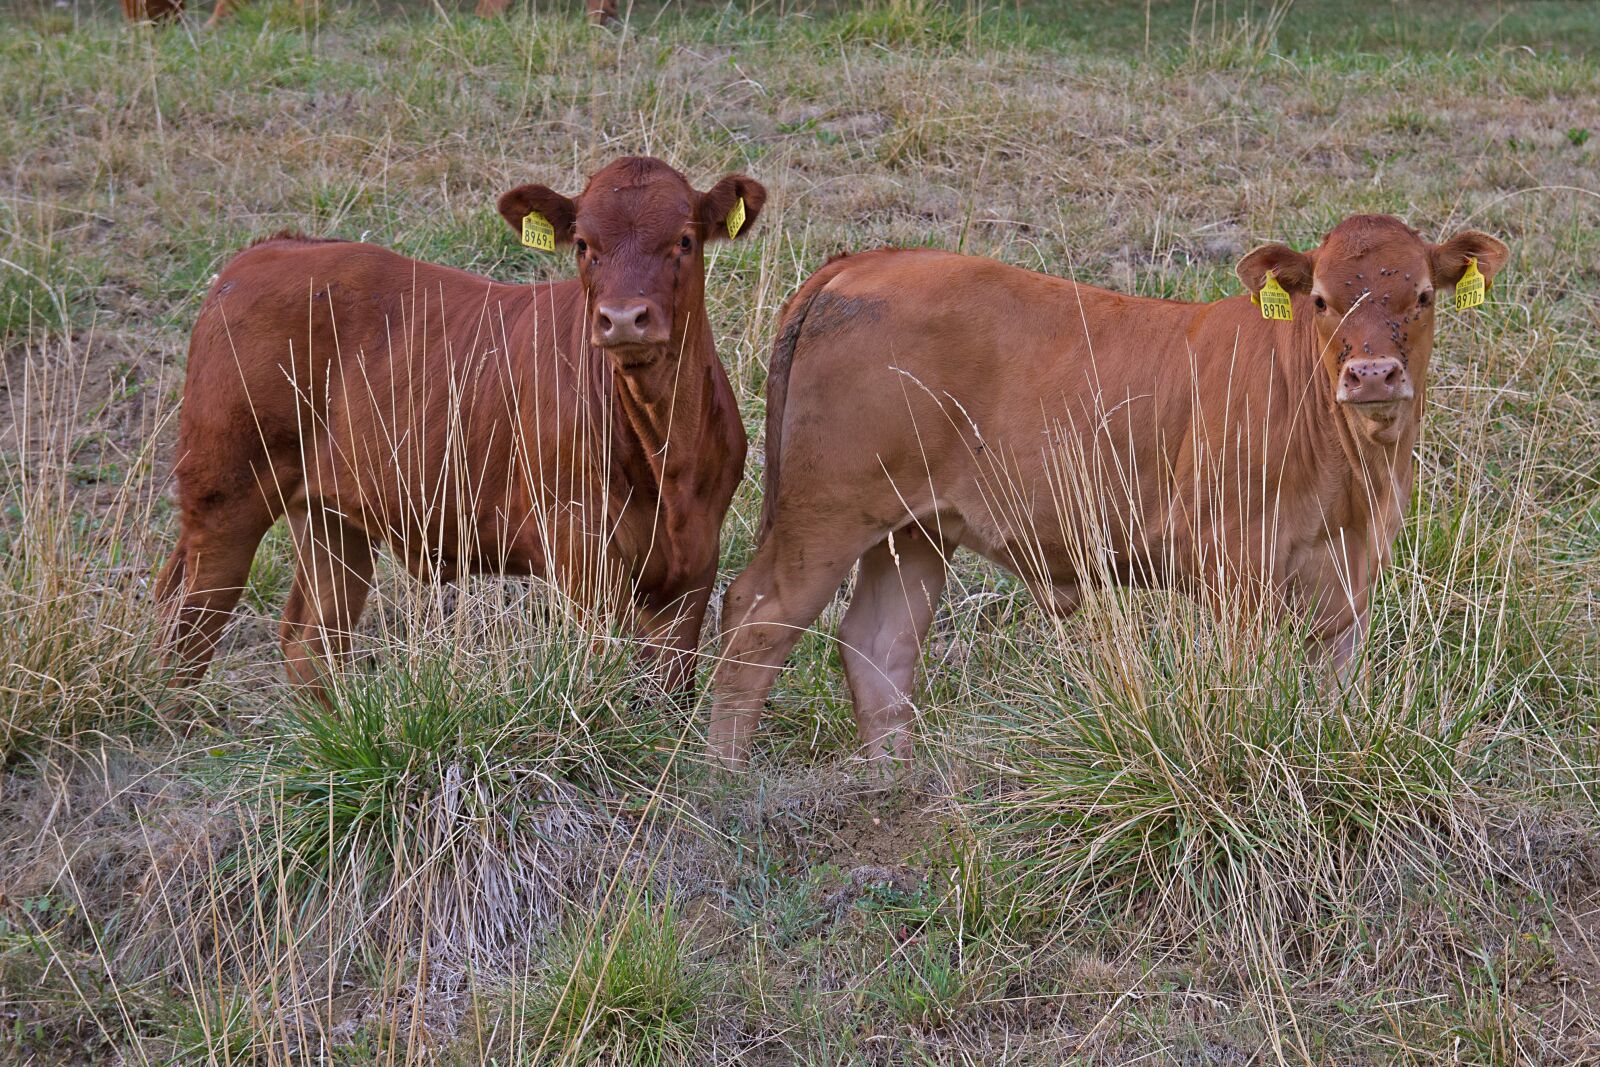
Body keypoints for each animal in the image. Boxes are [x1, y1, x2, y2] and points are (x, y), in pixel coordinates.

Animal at [156, 156, 764, 697]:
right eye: (583, 245)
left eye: (684, 240)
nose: (621, 319)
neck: (667, 455)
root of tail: (268, 250)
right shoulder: (580, 552)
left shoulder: (696, 563)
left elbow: (671, 690)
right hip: (224, 490)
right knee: (187, 624)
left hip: (332, 513)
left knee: (311, 639)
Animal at [708, 215, 1509, 768]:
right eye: (1319, 299)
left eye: (1425, 295)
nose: (1371, 374)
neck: (1353, 482)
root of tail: (865, 262)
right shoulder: (1235, 565)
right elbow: (1247, 683)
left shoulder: (1347, 583)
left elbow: (1336, 697)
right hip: (825, 511)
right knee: (755, 619)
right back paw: (726, 774)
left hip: (916, 527)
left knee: (879, 643)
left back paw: (893, 783)